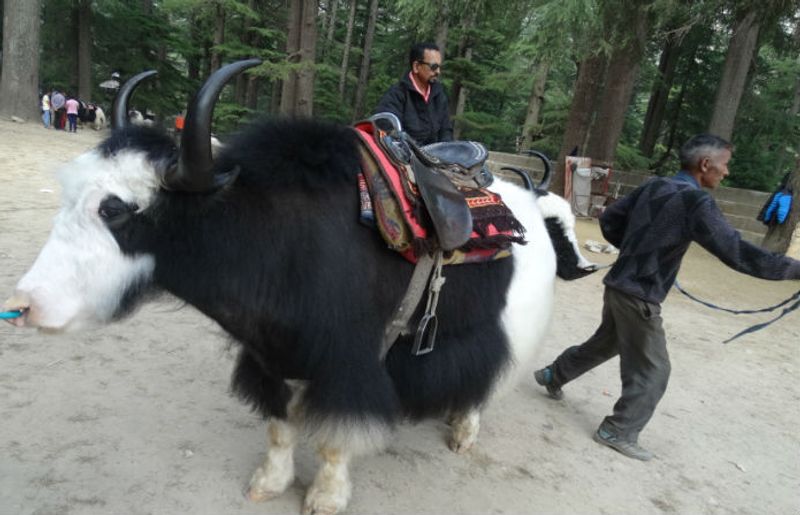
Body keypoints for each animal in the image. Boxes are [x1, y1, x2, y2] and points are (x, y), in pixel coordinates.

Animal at [4, 60, 594, 514]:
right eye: (70, 193)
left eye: (116, 210)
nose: (23, 304)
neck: (278, 244)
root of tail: (530, 203)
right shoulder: (272, 357)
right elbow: (280, 427)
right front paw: (267, 484)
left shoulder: (347, 364)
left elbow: (333, 442)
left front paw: (325, 498)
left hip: (506, 327)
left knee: (486, 381)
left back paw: (462, 432)